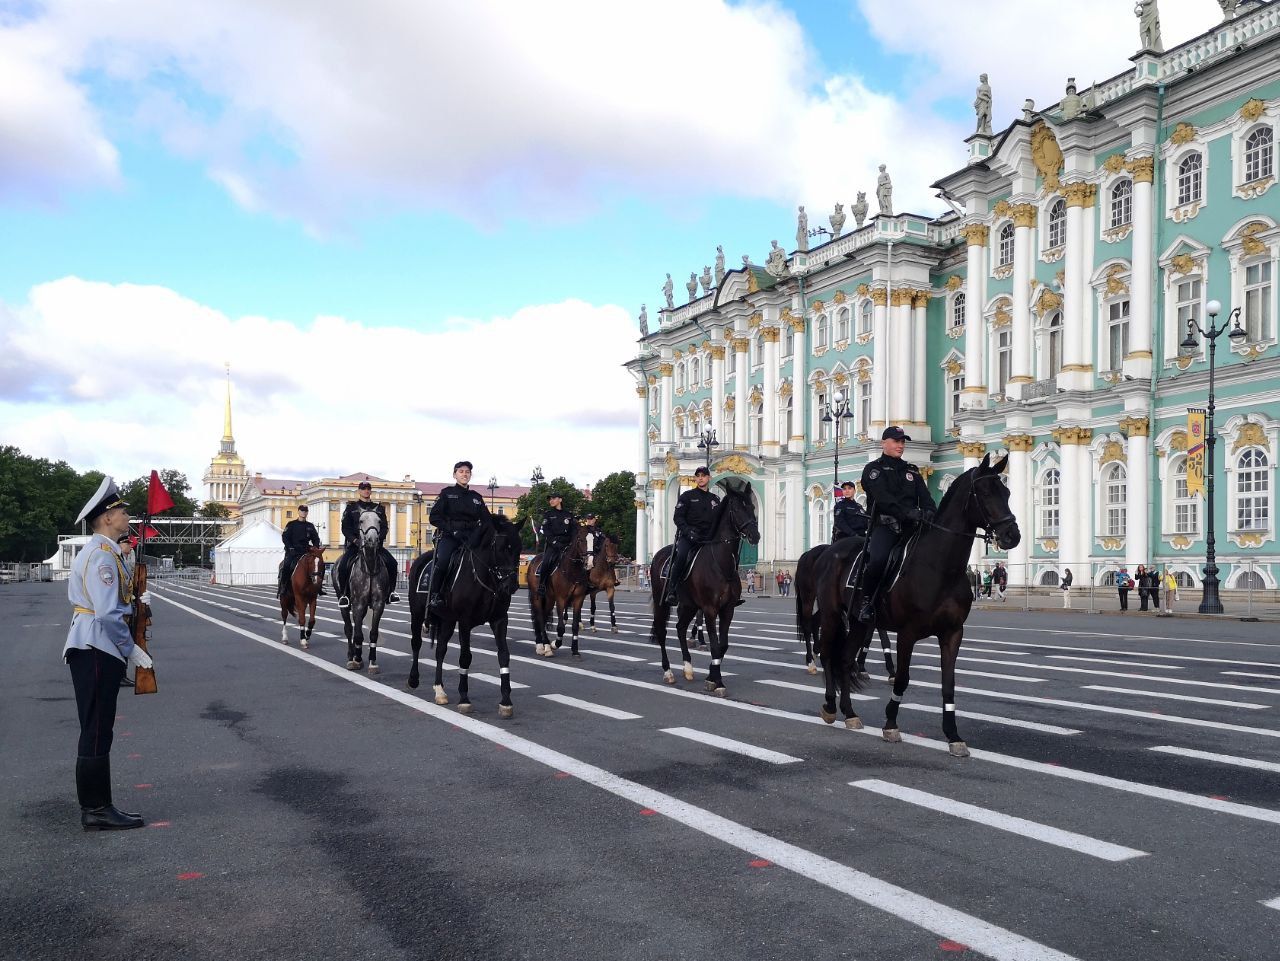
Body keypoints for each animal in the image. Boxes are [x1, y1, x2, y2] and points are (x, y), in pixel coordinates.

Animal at [330, 506, 389, 670]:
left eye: (379, 520)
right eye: (361, 520)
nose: (372, 540)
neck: (369, 567)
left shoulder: (378, 604)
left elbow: (373, 633)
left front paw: (372, 662)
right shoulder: (358, 604)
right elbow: (357, 634)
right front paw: (356, 660)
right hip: (344, 603)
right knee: (349, 629)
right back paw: (352, 655)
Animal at [407, 519, 522, 716]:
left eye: (519, 547)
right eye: (501, 548)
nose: (511, 585)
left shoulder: (499, 620)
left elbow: (504, 655)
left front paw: (506, 701)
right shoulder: (465, 621)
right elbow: (465, 657)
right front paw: (464, 699)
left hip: (447, 620)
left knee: (440, 650)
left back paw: (440, 690)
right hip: (417, 613)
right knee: (416, 643)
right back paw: (413, 679)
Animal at [527, 522, 591, 660]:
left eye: (594, 540)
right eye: (581, 540)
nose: (589, 562)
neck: (572, 570)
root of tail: (534, 558)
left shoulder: (578, 599)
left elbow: (575, 625)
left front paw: (575, 650)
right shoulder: (561, 599)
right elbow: (561, 627)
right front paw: (554, 644)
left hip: (549, 599)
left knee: (544, 616)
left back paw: (542, 645)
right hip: (537, 597)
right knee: (540, 618)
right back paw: (544, 647)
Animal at [650, 478, 757, 696]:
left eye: (751, 507)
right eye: (737, 508)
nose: (755, 535)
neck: (721, 564)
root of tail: (658, 555)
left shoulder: (728, 610)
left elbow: (723, 645)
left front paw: (711, 676)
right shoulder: (709, 609)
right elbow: (715, 645)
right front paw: (717, 681)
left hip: (689, 605)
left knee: (680, 628)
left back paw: (688, 668)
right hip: (661, 602)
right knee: (662, 632)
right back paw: (668, 672)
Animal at [814, 455, 1024, 757]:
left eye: (1006, 492)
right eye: (984, 493)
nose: (1012, 535)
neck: (940, 567)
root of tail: (829, 551)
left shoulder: (952, 633)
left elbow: (949, 685)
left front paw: (953, 735)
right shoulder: (907, 633)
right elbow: (902, 678)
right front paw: (891, 724)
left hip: (858, 623)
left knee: (843, 659)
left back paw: (850, 713)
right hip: (832, 617)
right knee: (828, 656)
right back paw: (831, 707)